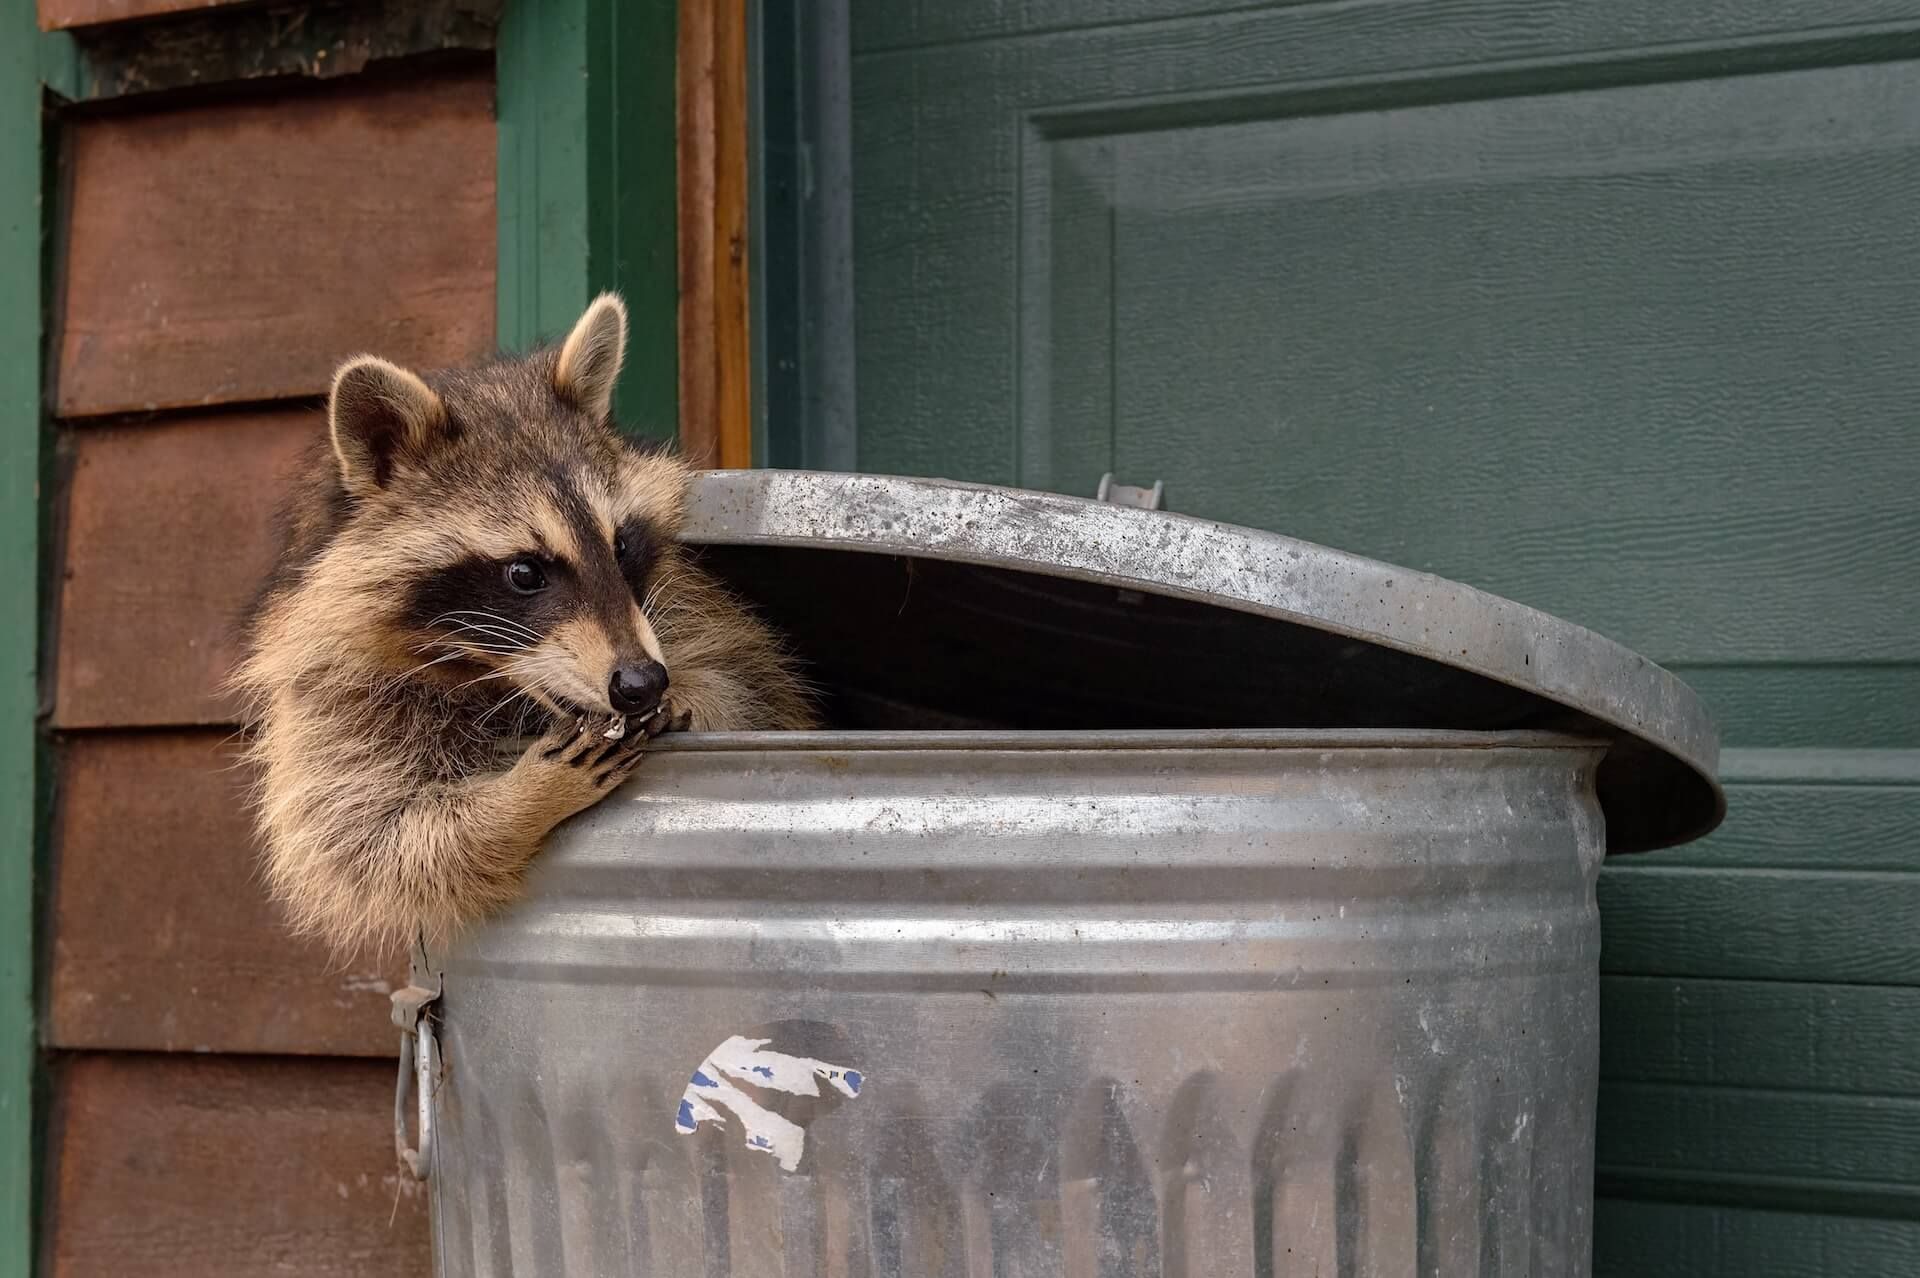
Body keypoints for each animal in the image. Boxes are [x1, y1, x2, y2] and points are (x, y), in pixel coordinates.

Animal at [234, 295, 817, 955]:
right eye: (523, 573)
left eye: (621, 546)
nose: (641, 684)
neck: (494, 681)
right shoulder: (332, 694)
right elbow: (373, 839)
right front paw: (520, 802)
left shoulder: (690, 613)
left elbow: (752, 689)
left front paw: (695, 694)